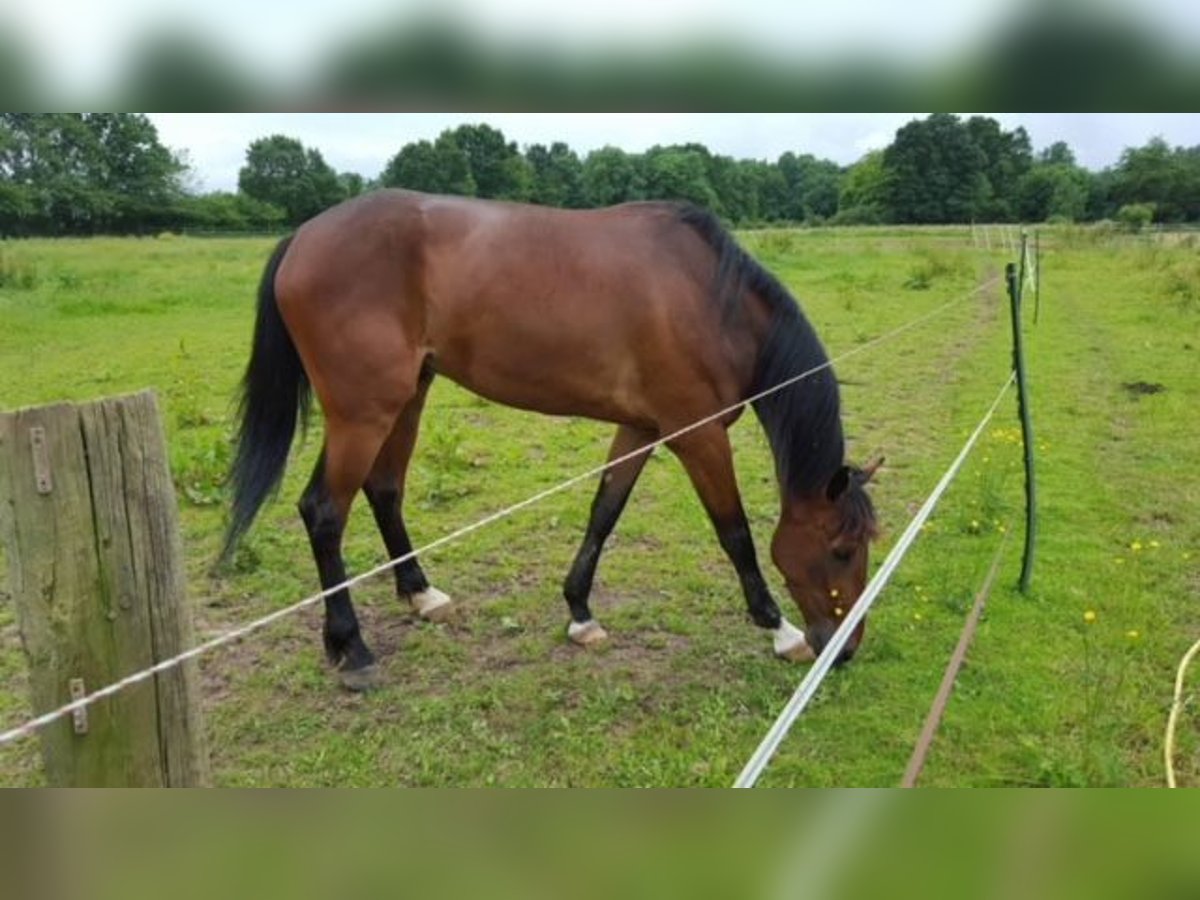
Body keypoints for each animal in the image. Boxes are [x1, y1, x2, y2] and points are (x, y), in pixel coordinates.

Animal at [225, 192, 883, 691]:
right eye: (842, 550)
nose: (846, 650)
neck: (711, 300)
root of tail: (303, 237)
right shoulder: (697, 436)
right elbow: (736, 534)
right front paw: (781, 631)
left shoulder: (642, 427)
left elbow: (604, 512)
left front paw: (579, 613)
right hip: (363, 412)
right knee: (323, 512)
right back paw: (352, 648)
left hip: (406, 397)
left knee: (384, 490)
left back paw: (422, 595)